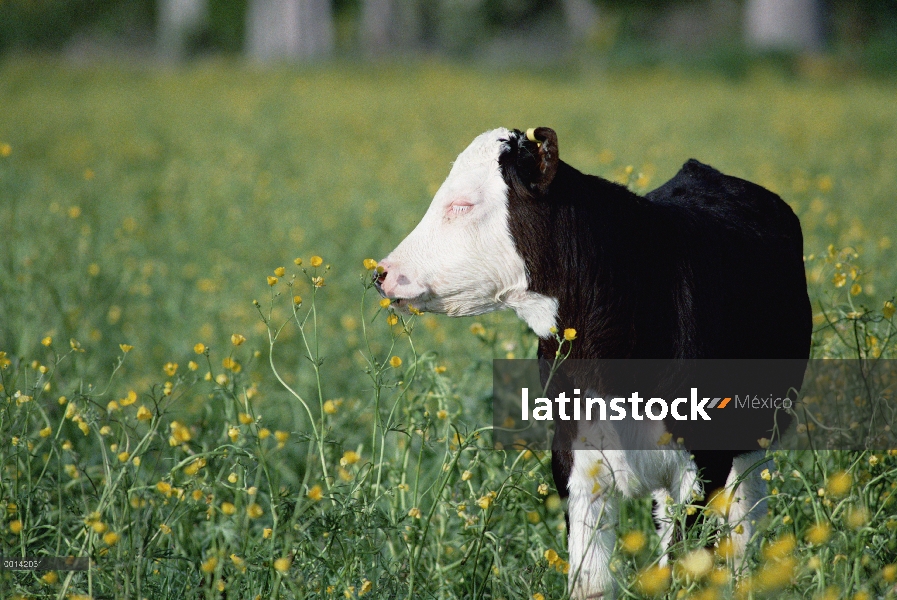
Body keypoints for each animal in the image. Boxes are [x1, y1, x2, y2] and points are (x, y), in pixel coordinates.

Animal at [372, 129, 812, 596]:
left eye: (463, 204)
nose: (382, 272)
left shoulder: (707, 456)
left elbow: (688, 565)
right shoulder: (573, 452)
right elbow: (592, 580)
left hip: (761, 431)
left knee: (746, 523)